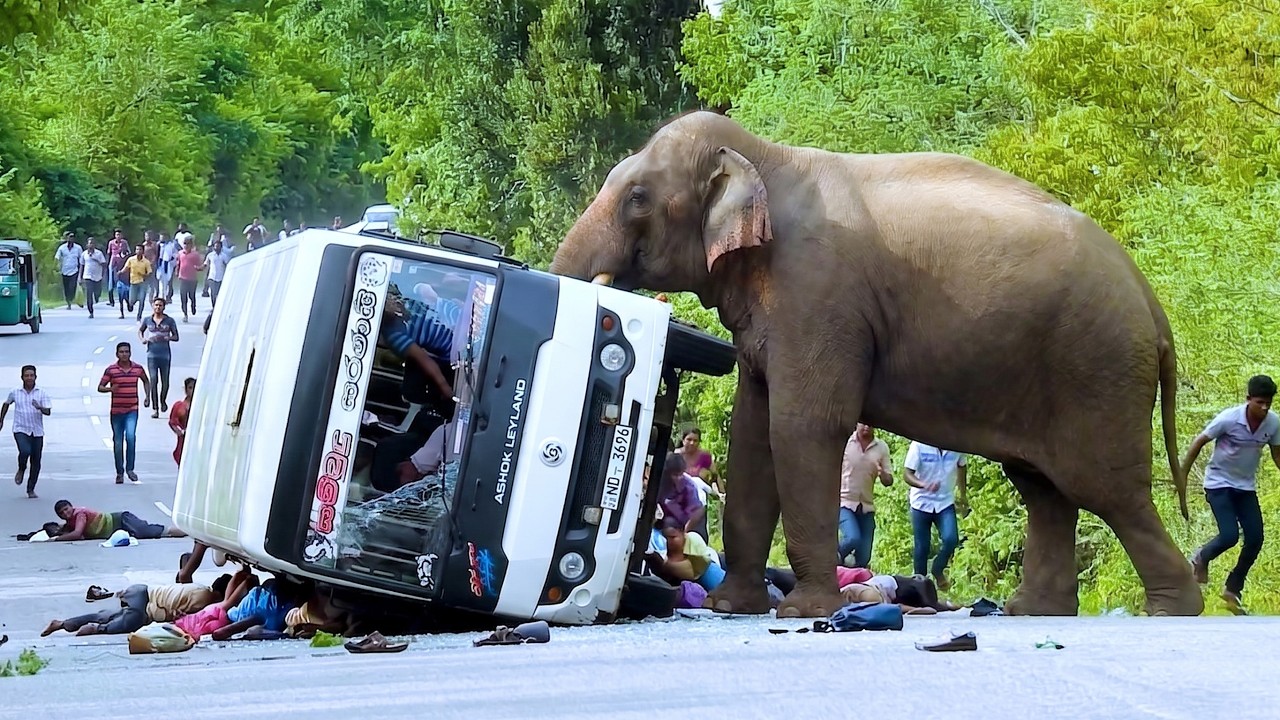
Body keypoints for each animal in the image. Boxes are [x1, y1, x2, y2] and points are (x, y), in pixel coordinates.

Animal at [550, 110, 1204, 619]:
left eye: (637, 198)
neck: (765, 157)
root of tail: (1153, 305)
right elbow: (754, 431)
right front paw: (731, 607)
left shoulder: (819, 293)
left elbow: (804, 426)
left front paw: (803, 612)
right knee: (1043, 487)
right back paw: (1035, 611)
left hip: (1097, 365)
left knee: (1104, 487)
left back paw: (1173, 609)